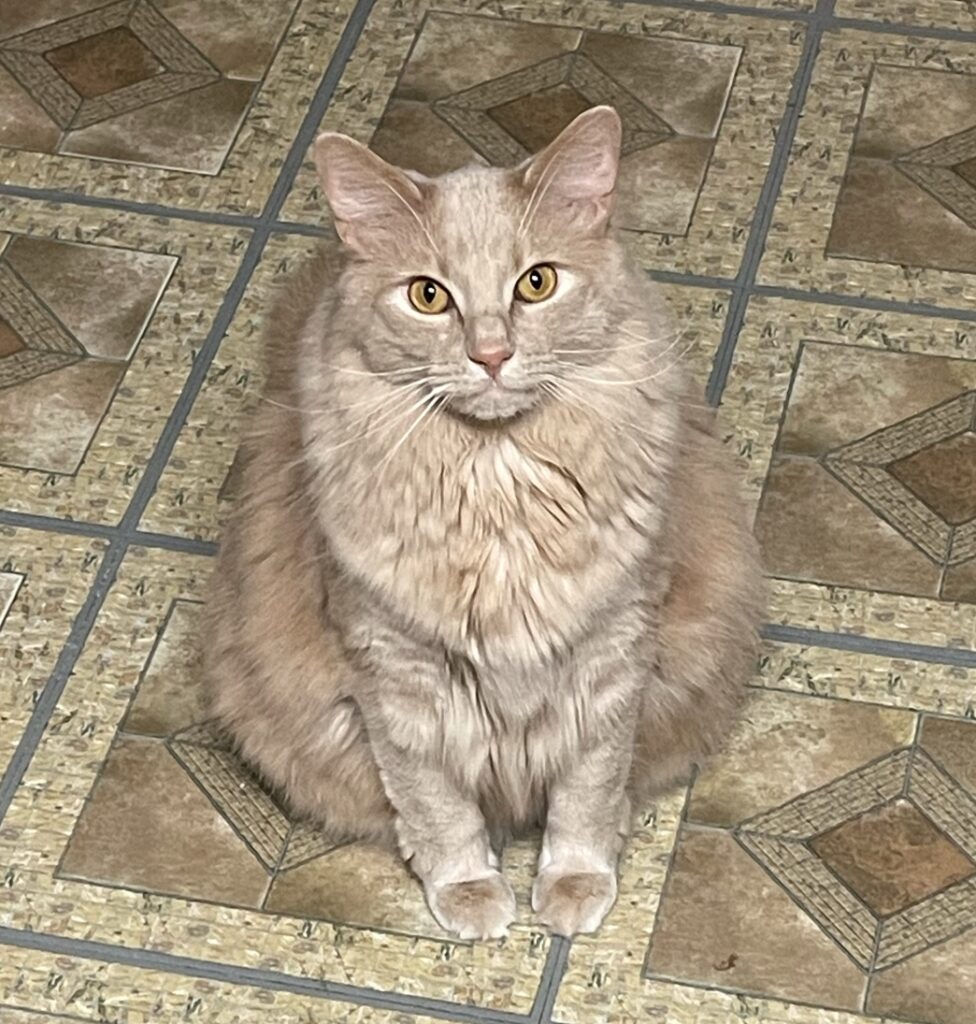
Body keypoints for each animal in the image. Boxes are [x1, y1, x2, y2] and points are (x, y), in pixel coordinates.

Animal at [203, 108, 761, 937]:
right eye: (429, 296)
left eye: (537, 283)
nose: (491, 354)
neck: (499, 488)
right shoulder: (393, 674)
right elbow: (438, 806)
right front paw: (467, 890)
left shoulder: (613, 653)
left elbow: (587, 792)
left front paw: (575, 881)